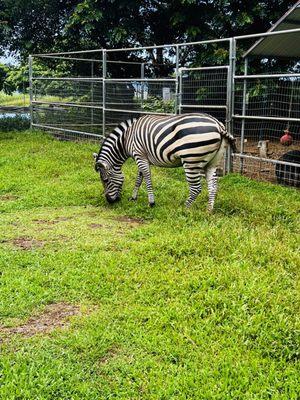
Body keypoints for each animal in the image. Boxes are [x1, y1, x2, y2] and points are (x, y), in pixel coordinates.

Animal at [92, 113, 236, 211]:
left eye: (105, 180)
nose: (110, 201)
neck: (126, 138)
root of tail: (218, 124)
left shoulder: (139, 155)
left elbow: (147, 177)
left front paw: (151, 202)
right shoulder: (142, 156)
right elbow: (139, 178)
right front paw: (133, 198)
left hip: (191, 160)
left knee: (196, 188)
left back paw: (183, 209)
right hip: (212, 162)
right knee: (213, 186)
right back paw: (209, 210)